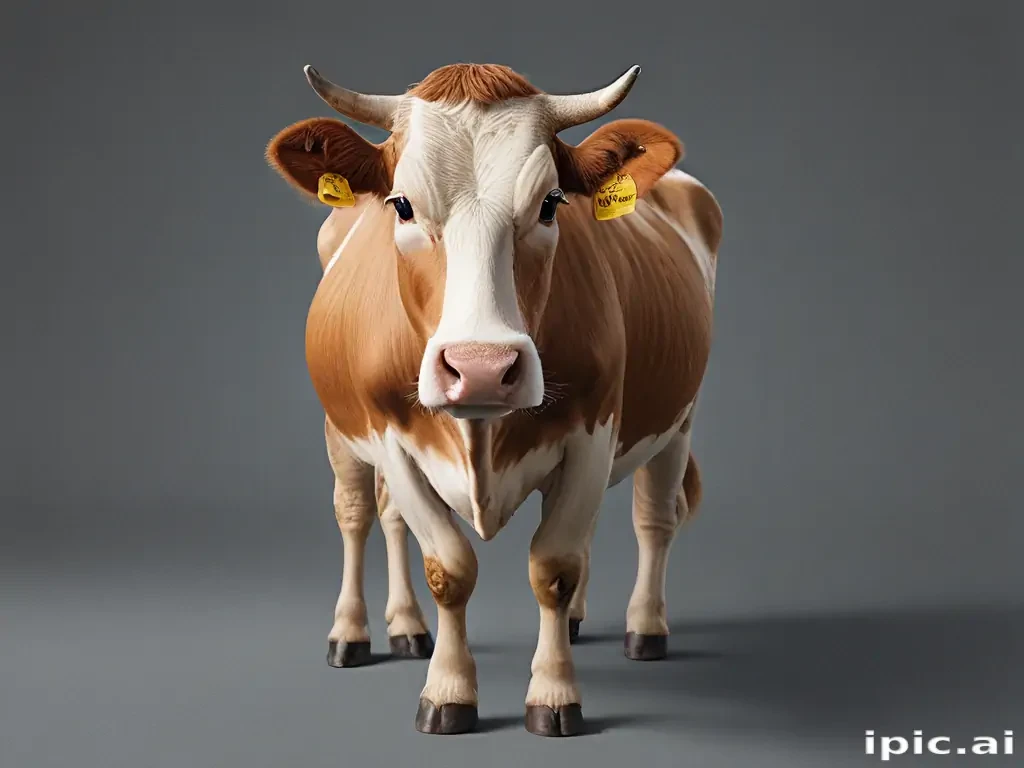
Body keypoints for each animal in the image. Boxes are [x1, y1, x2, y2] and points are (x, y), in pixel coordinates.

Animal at [265, 62, 723, 737]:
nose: (481, 369)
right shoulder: (392, 438)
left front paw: (554, 695)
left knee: (653, 520)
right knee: (360, 515)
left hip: (679, 419)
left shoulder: (595, 431)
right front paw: (448, 693)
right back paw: (367, 633)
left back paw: (643, 629)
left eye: (551, 203)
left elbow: (555, 566)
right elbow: (448, 568)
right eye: (402, 205)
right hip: (339, 429)